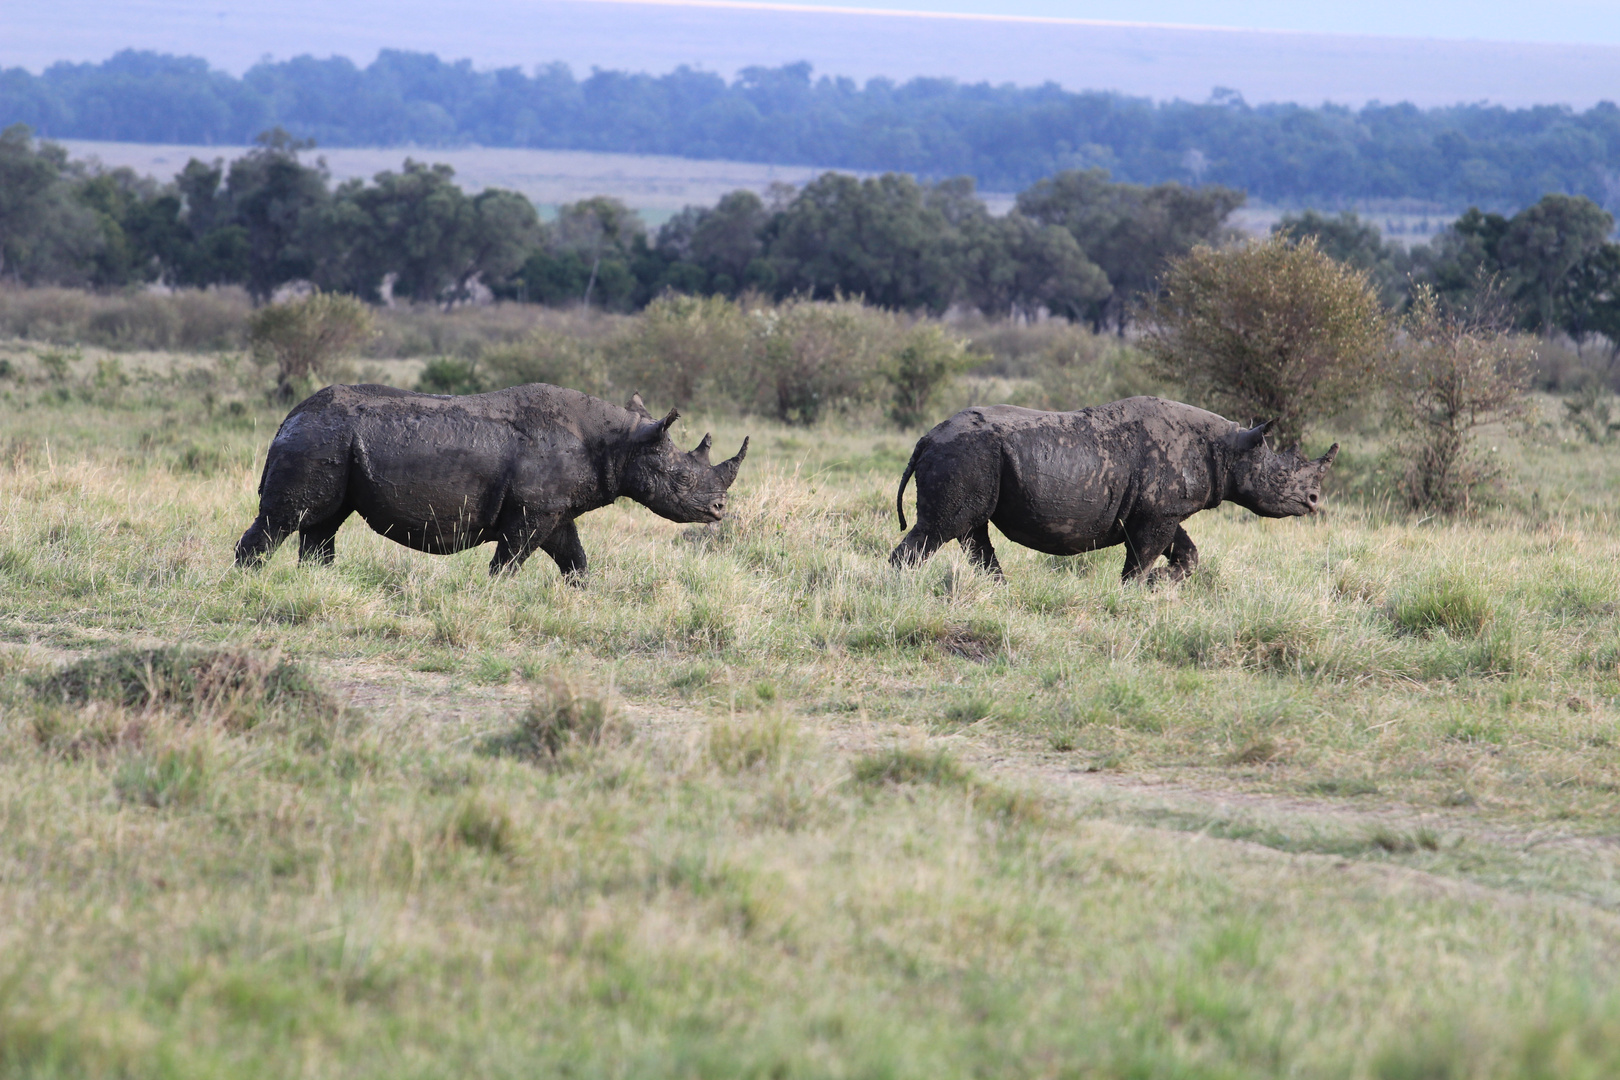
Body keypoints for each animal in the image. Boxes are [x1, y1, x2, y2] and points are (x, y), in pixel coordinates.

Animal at [234, 382, 751, 582]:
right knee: (285, 520)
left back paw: (317, 583)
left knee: (323, 522)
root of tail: (290, 416)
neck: (623, 443)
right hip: (318, 439)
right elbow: (509, 561)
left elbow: (575, 558)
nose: (720, 511)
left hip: (330, 441)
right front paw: (493, 593)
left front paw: (583, 596)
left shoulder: (553, 510)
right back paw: (249, 583)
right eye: (681, 478)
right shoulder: (531, 512)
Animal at [894, 395, 1334, 582]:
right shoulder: (1157, 513)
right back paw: (900, 589)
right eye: (1280, 477)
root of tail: (926, 438)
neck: (1231, 448)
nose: (1314, 502)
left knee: (971, 529)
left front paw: (1162, 583)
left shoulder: (1162, 509)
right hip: (965, 453)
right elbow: (1143, 557)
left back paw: (998, 590)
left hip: (974, 456)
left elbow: (1186, 552)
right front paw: (1135, 589)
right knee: (941, 528)